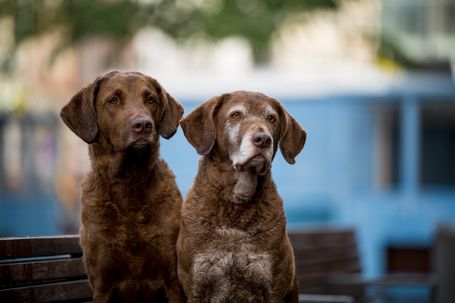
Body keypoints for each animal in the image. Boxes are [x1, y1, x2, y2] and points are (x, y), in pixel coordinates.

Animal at [60, 72, 185, 303]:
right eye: (113, 100)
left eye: (150, 99)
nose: (143, 125)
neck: (129, 181)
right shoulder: (102, 284)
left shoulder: (174, 281)